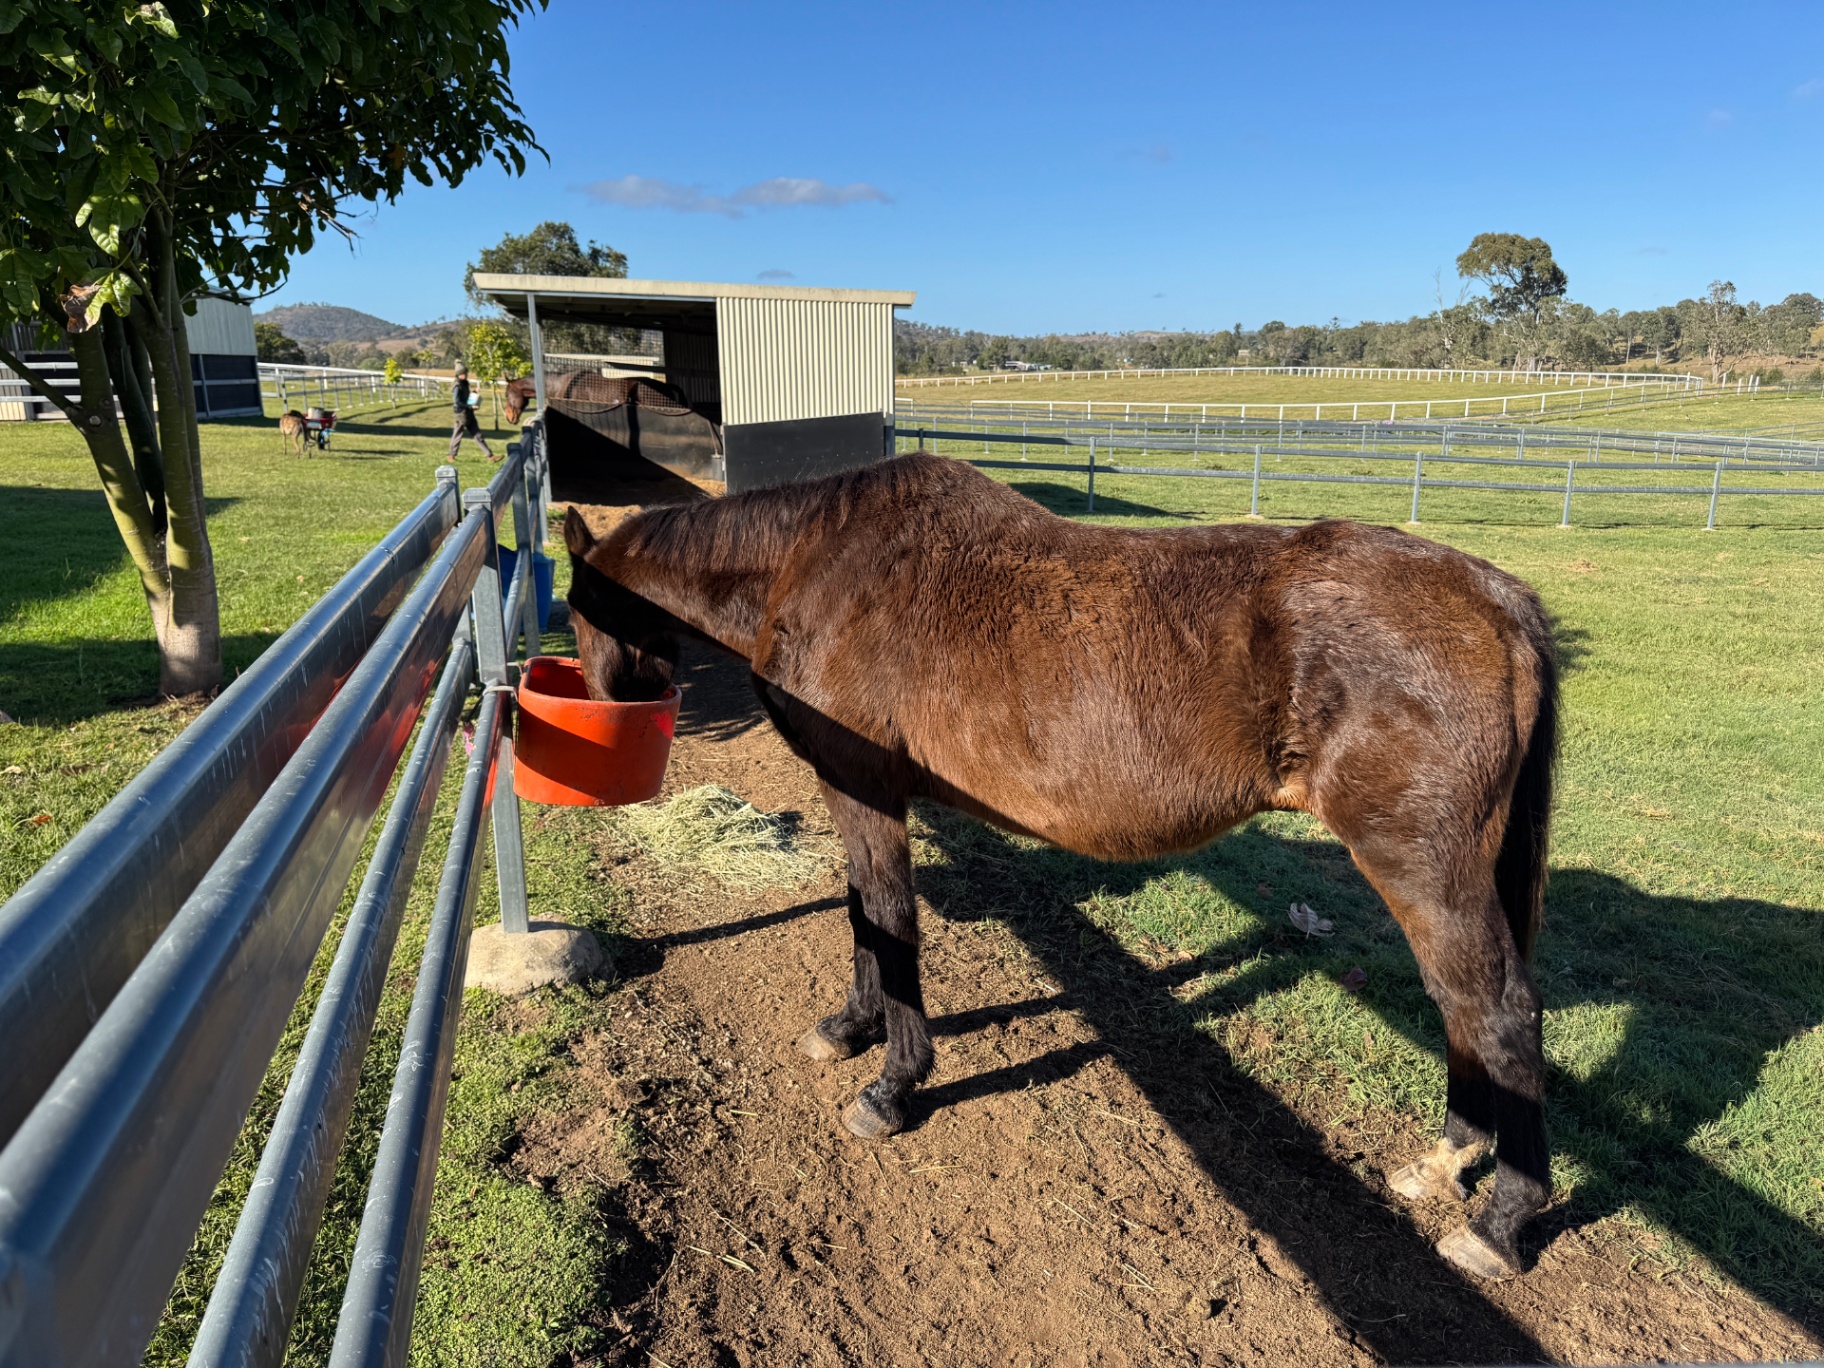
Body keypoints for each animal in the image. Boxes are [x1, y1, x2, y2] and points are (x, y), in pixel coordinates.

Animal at [561, 452, 1559, 1282]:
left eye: (576, 608)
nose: (615, 700)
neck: (817, 562)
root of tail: (1500, 601)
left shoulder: (865, 791)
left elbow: (889, 921)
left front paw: (892, 1083)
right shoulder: (854, 794)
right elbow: (860, 918)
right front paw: (848, 1028)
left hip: (1422, 868)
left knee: (1495, 1012)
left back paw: (1500, 1225)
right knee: (1464, 1011)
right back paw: (1444, 1164)